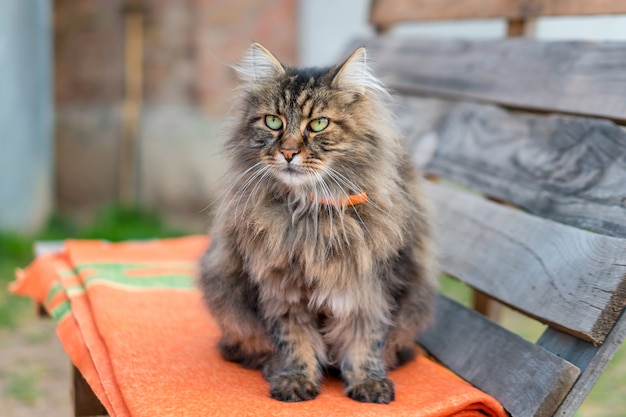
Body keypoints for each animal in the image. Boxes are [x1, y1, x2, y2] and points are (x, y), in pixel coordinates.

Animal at [199, 43, 434, 404]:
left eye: (319, 124)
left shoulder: (370, 289)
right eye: (273, 121)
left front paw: (369, 383)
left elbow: (366, 341)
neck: (313, 213)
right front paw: (295, 380)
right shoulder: (282, 291)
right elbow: (295, 342)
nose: (288, 152)